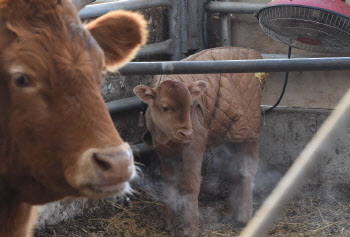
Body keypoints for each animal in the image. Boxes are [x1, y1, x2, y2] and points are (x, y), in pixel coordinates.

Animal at [135, 47, 266, 237]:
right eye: (165, 107)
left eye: (191, 105)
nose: (186, 132)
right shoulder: (164, 150)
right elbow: (169, 181)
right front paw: (169, 222)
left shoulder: (195, 144)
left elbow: (190, 183)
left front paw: (192, 228)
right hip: (231, 133)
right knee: (236, 168)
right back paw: (230, 212)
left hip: (248, 130)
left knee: (249, 169)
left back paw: (244, 216)